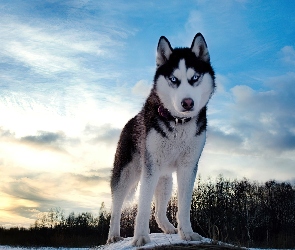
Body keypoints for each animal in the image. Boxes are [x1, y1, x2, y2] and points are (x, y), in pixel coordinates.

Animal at [107, 32, 216, 246]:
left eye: (195, 78)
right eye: (173, 79)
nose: (187, 103)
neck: (178, 123)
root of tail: (129, 122)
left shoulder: (188, 166)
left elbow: (184, 206)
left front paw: (187, 233)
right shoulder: (150, 167)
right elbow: (142, 207)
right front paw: (141, 237)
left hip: (165, 180)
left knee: (158, 211)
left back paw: (168, 228)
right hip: (126, 175)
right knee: (116, 207)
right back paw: (113, 235)